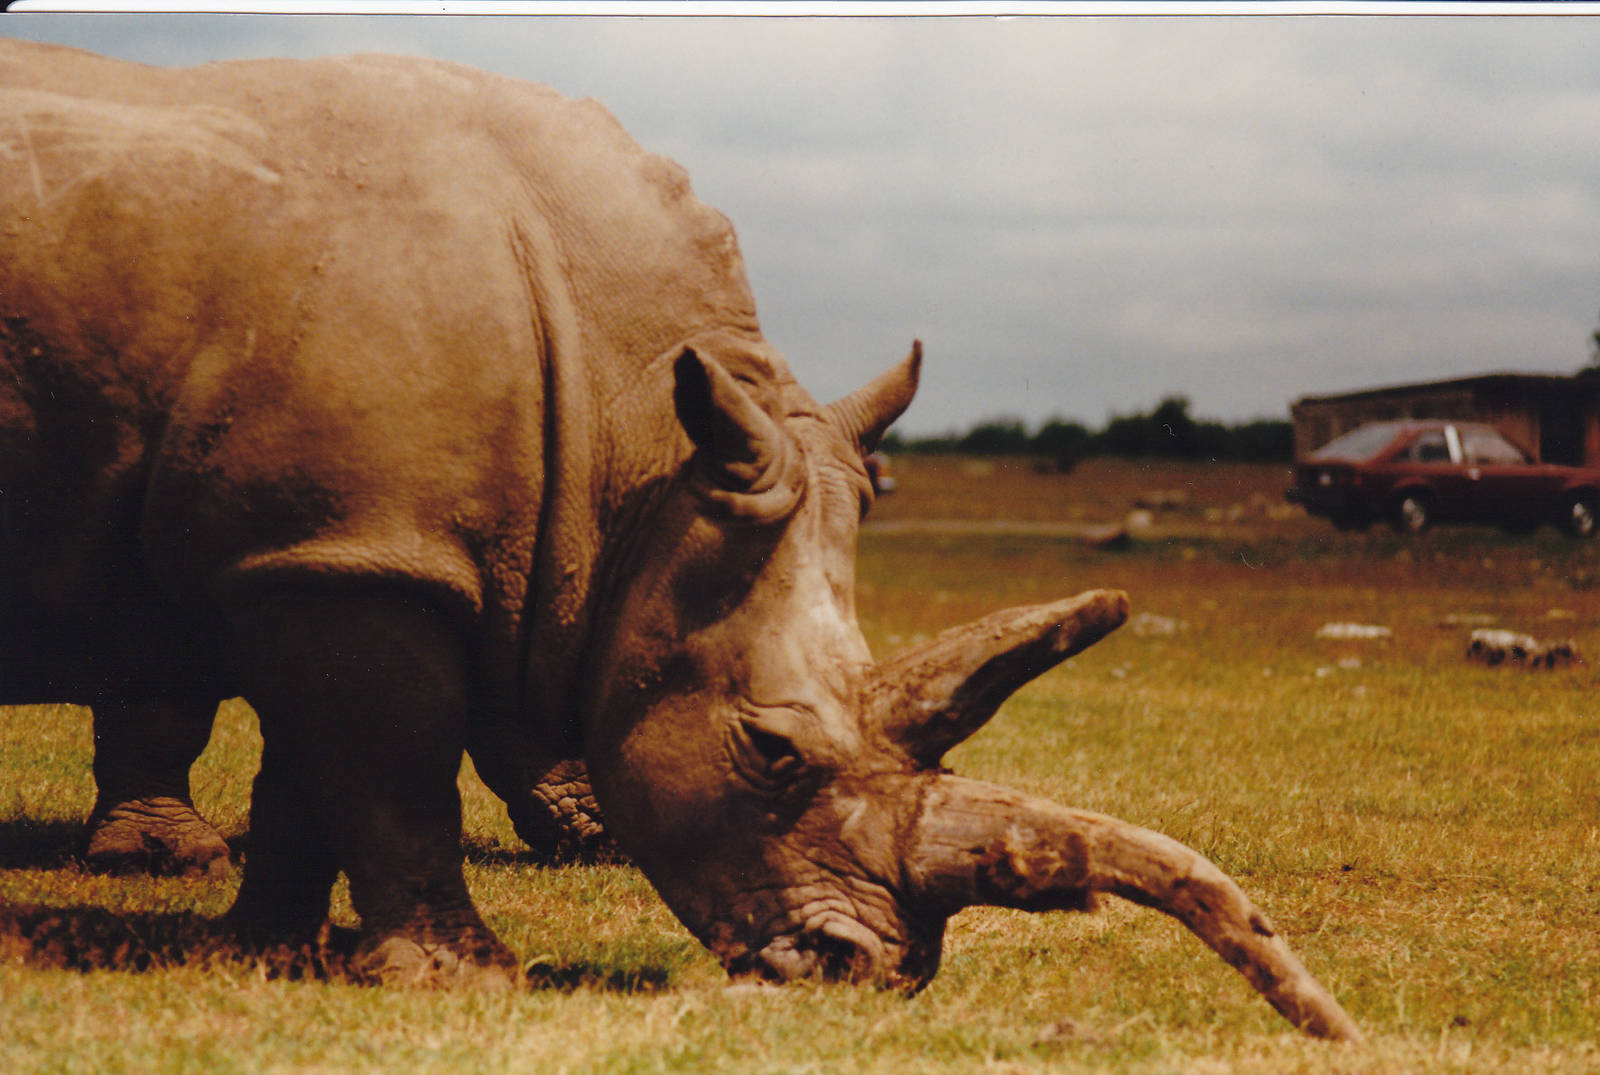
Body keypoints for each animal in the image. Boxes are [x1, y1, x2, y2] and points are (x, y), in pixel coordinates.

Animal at [0, 41, 1359, 1040]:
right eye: (771, 751)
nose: (865, 974)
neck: (632, 440)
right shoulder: (358, 554)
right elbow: (390, 764)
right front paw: (468, 981)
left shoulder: (337, 547)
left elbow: (313, 766)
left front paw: (264, 957)